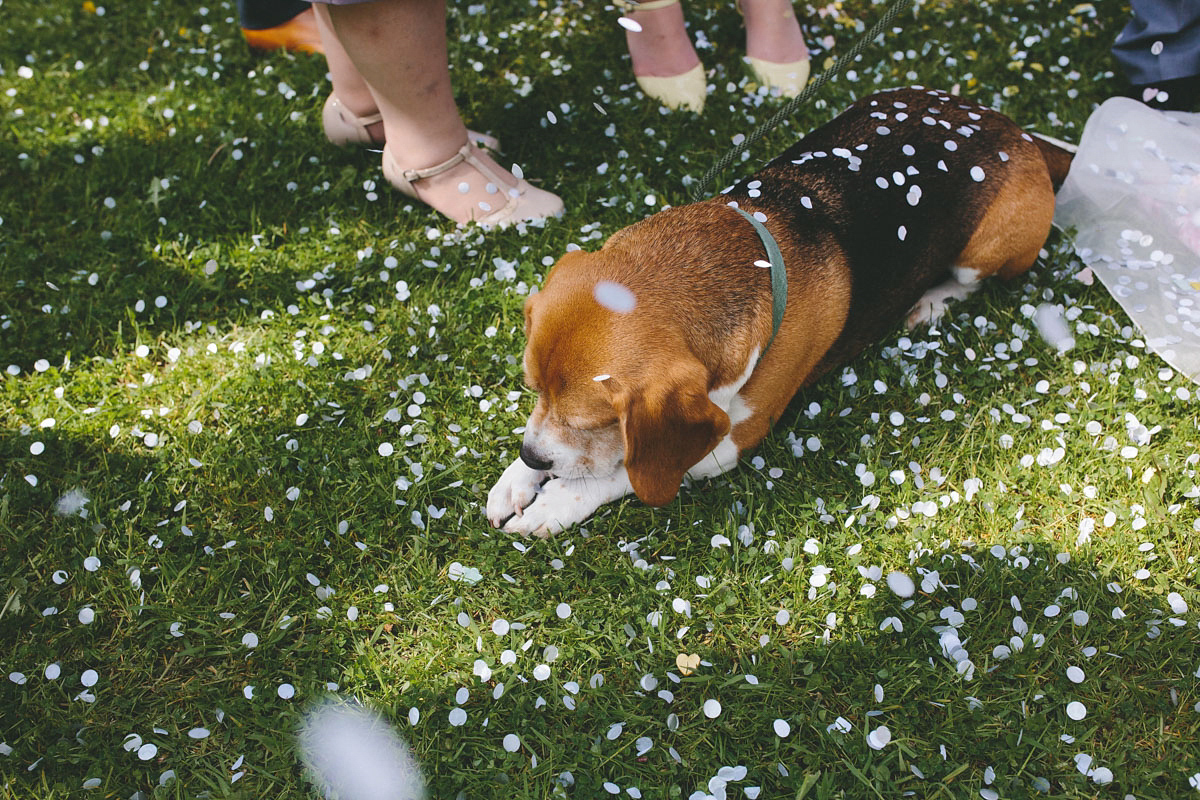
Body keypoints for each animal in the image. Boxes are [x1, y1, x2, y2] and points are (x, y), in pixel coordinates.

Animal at [482, 87, 1075, 534]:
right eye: (533, 388)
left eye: (595, 420)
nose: (533, 457)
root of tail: (1014, 129)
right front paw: (515, 478)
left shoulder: (730, 440)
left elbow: (621, 472)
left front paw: (558, 502)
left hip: (990, 249)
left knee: (971, 282)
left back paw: (931, 301)